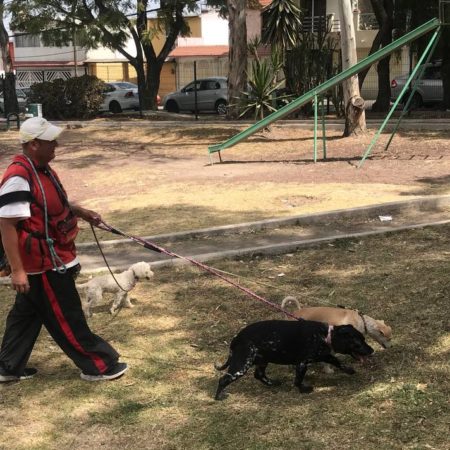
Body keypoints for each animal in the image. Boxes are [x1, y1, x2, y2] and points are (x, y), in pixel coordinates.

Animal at [214, 320, 372, 400]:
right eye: (358, 343)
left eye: (364, 339)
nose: (372, 350)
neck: (324, 335)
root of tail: (236, 339)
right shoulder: (302, 363)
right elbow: (298, 380)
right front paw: (304, 389)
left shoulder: (324, 355)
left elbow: (337, 361)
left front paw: (349, 370)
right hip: (242, 365)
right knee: (223, 379)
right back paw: (218, 397)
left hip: (262, 361)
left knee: (259, 375)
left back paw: (272, 383)